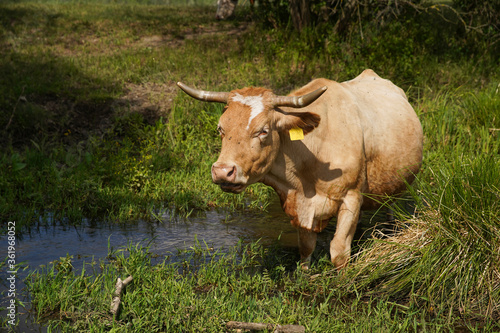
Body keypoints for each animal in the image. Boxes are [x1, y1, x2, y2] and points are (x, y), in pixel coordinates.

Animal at [178, 69, 424, 268]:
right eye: (220, 129)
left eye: (263, 131)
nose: (222, 171)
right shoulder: (299, 204)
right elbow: (306, 247)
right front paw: (304, 276)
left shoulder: (351, 197)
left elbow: (339, 252)